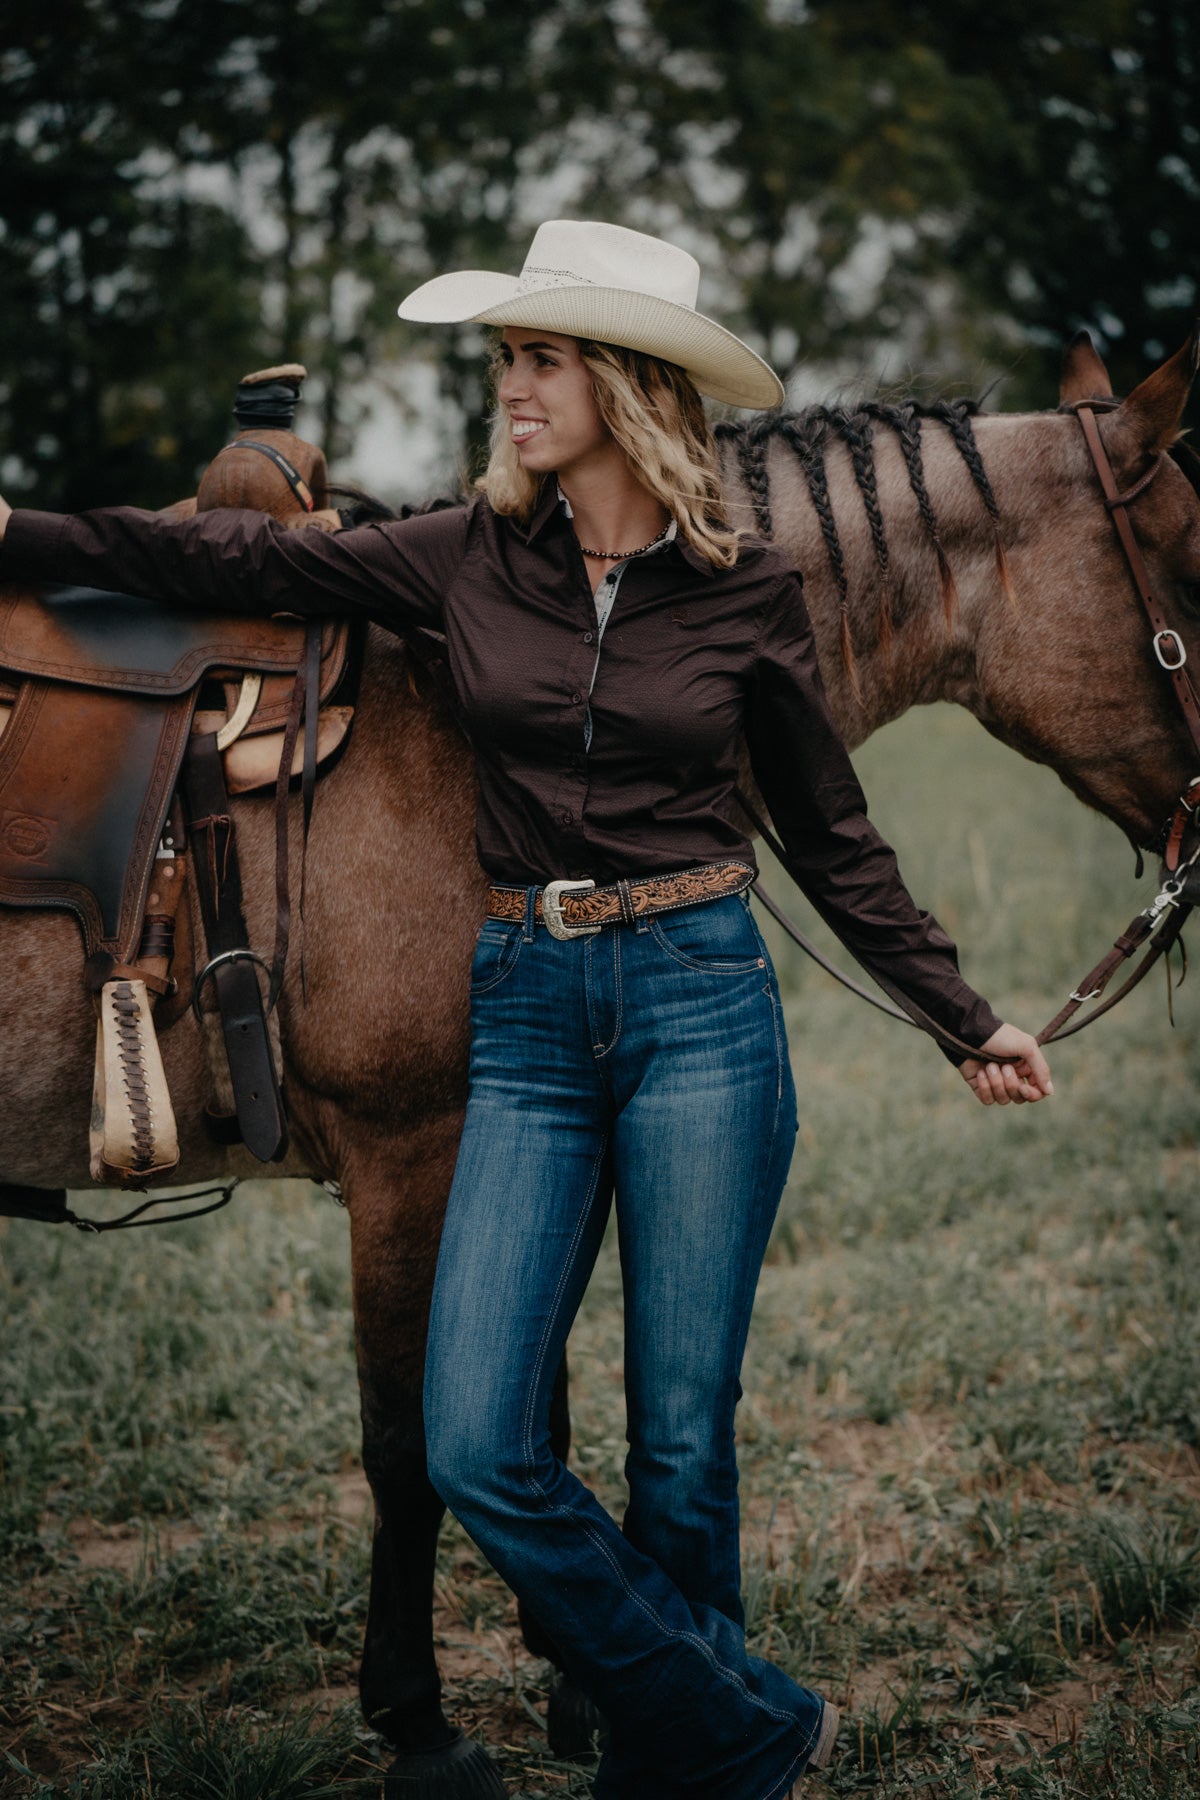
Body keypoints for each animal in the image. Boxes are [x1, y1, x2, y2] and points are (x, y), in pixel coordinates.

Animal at [2, 320, 1200, 1785]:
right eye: (1193, 570)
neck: (438, 727)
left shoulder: (519, 1150)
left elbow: (536, 1413)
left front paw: (588, 1681)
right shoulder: (414, 1161)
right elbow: (411, 1443)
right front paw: (421, 1722)